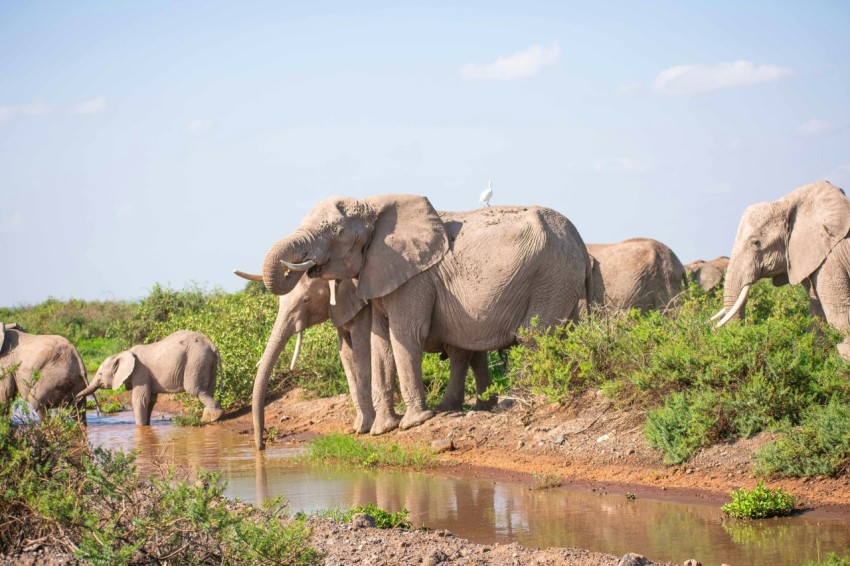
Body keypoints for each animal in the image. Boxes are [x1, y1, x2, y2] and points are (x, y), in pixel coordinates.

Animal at [76, 332, 224, 426]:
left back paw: (211, 417)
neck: (123, 353)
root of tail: (212, 345)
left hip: (196, 361)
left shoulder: (140, 371)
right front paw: (146, 424)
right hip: (206, 361)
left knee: (195, 389)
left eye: (100, 374)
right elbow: (151, 400)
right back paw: (209, 416)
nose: (76, 398)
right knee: (209, 388)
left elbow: (139, 399)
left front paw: (140, 427)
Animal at [258, 195, 588, 448]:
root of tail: (581, 241)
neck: (374, 206)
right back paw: (463, 407)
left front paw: (412, 423)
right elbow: (381, 343)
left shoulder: (414, 279)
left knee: (533, 337)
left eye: (338, 232)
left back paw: (510, 404)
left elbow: (404, 335)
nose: (262, 445)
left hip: (553, 275)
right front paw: (383, 429)